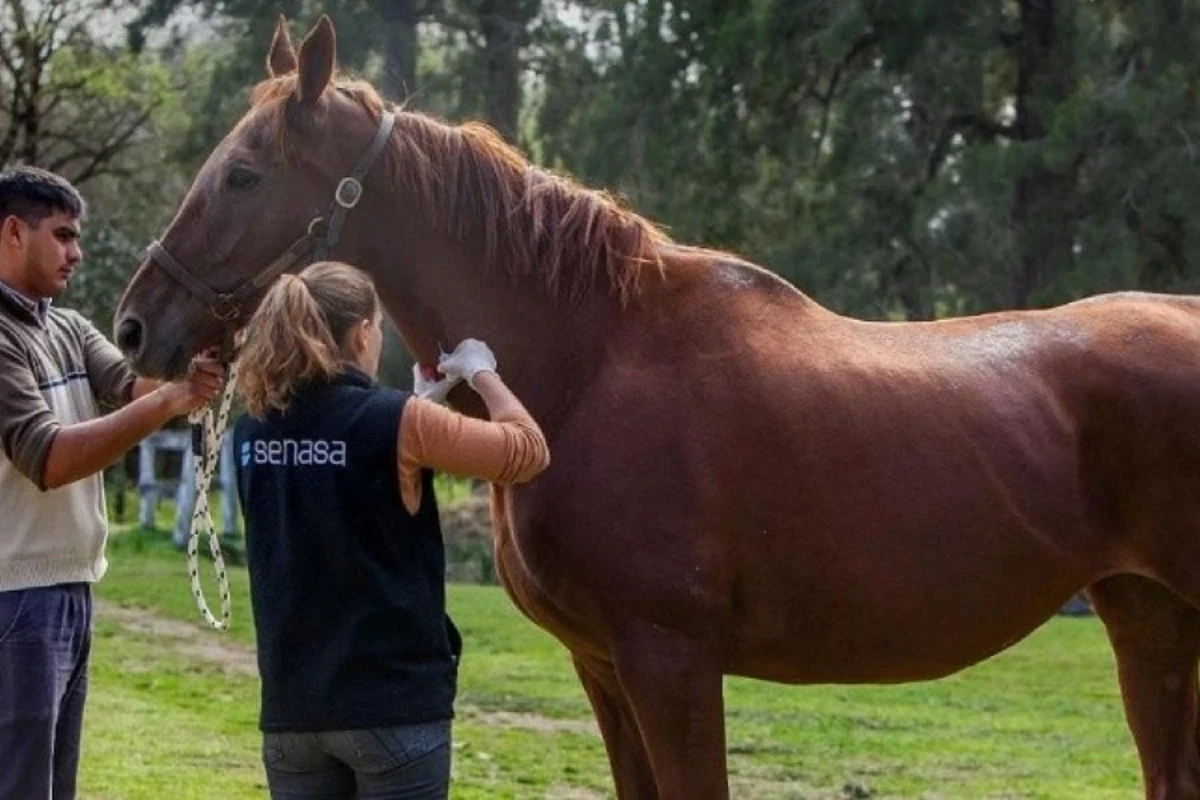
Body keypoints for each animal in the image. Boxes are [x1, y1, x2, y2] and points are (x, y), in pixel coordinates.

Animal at [114, 14, 1200, 800]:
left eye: (242, 174)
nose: (134, 326)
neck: (595, 357)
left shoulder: (669, 659)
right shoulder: (603, 664)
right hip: (1146, 616)